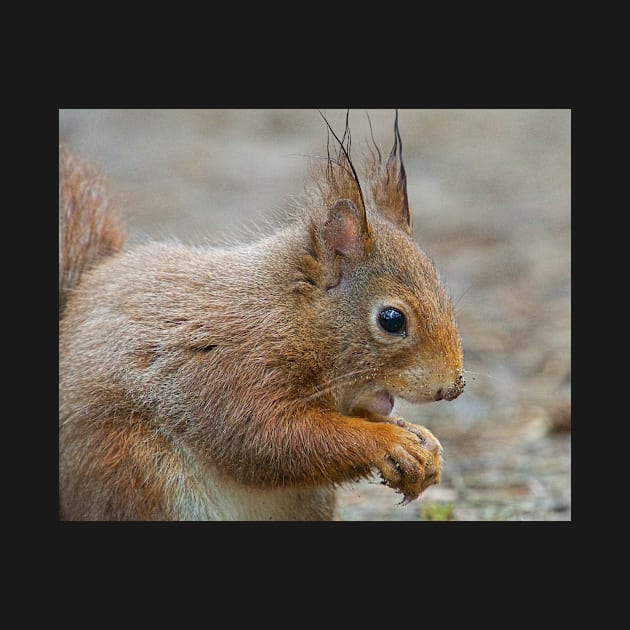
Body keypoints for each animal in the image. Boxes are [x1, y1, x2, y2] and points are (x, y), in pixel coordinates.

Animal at [58, 111, 464, 520]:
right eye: (392, 320)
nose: (453, 387)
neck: (294, 316)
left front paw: (425, 444)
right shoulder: (233, 367)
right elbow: (269, 439)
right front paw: (391, 441)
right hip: (132, 465)